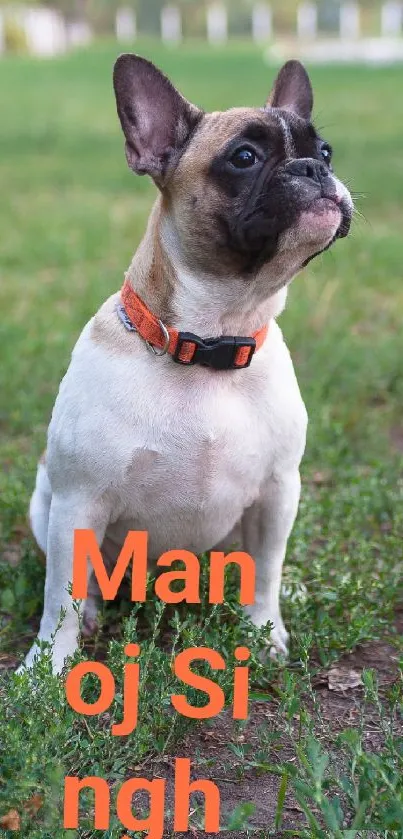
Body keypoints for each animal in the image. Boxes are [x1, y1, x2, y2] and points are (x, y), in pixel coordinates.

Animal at [20, 55, 352, 672]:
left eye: (326, 151)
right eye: (243, 157)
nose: (313, 169)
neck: (212, 339)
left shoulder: (278, 491)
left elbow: (266, 572)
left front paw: (265, 632)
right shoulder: (78, 502)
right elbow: (61, 596)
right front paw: (46, 667)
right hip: (44, 503)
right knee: (86, 584)